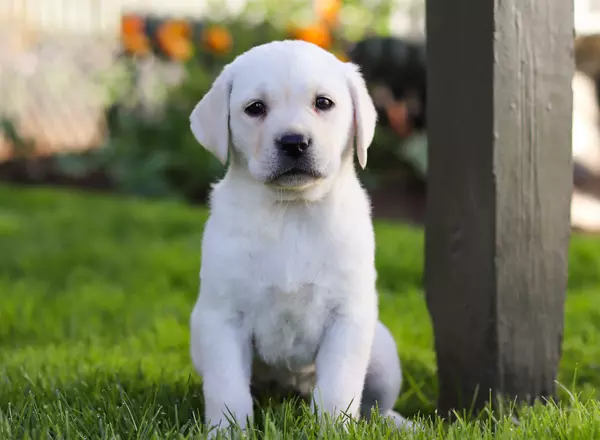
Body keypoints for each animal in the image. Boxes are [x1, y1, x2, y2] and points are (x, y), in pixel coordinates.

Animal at [189, 39, 412, 434]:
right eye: (255, 108)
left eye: (323, 103)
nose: (294, 142)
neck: (291, 212)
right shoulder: (223, 318)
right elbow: (228, 392)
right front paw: (228, 432)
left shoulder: (346, 318)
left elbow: (338, 391)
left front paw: (335, 431)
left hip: (383, 355)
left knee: (376, 408)